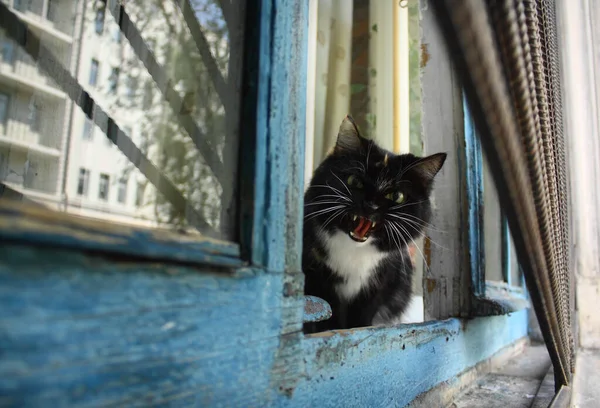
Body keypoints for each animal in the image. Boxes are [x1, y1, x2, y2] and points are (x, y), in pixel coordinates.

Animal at [302, 114, 448, 332]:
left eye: (396, 196)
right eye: (355, 181)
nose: (370, 205)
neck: (352, 252)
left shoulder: (380, 283)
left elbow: (362, 316)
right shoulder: (317, 278)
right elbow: (327, 313)